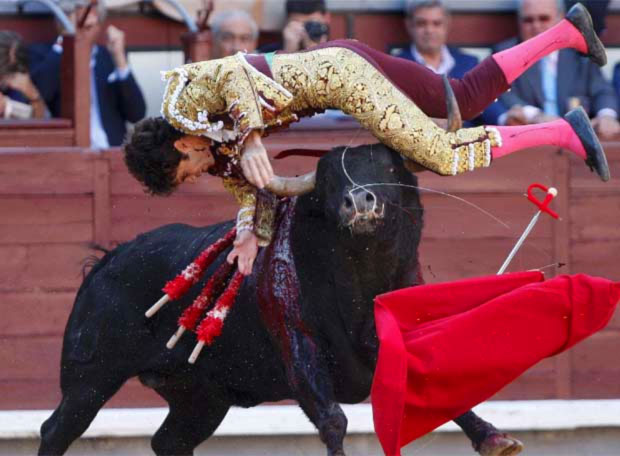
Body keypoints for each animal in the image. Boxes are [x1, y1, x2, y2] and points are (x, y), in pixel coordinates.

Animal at [38, 144, 522, 456]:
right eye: (328, 184)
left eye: (385, 170)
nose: (358, 201)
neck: (359, 278)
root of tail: (107, 259)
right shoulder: (298, 349)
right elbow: (333, 419)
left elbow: (439, 387)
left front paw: (494, 439)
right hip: (90, 378)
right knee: (57, 429)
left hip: (200, 397)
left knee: (170, 441)